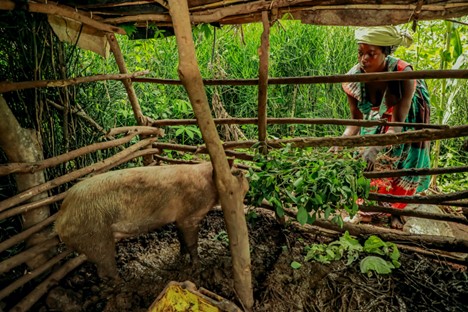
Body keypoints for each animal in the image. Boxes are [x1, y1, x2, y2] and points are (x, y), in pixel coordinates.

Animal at [54, 162, 249, 280]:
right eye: (237, 173)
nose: (246, 174)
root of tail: (61, 217)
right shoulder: (190, 216)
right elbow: (192, 242)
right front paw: (197, 265)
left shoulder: (179, 218)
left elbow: (181, 237)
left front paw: (181, 255)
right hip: (97, 237)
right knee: (107, 263)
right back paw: (122, 281)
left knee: (100, 269)